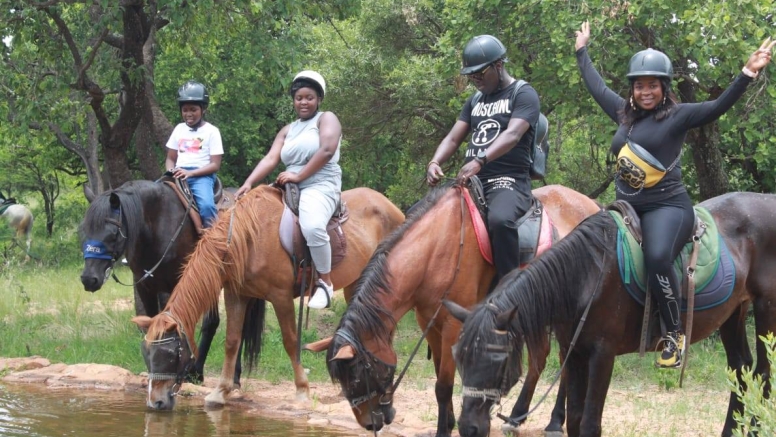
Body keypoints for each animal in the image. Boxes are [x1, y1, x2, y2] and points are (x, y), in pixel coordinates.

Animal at [80, 179, 244, 384]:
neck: (156, 223)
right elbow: (151, 324)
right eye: (84, 230)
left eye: (112, 234)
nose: (89, 279)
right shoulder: (145, 287)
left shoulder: (174, 285)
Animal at [130, 186, 404, 410]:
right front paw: (221, 392)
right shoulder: (236, 295)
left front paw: (302, 391)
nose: (155, 402)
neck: (247, 238)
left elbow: (291, 341)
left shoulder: (281, 297)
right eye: (146, 354)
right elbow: (232, 341)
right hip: (356, 284)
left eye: (169, 355)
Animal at [312, 181, 604, 436]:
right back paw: (517, 416)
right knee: (541, 357)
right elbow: (441, 384)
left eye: (358, 376)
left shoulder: (454, 324)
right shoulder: (428, 322)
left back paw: (554, 421)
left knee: (565, 360)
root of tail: (593, 207)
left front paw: (445, 429)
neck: (434, 250)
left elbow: (444, 384)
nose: (370, 423)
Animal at [446, 193, 776, 436]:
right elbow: (575, 421)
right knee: (741, 369)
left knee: (763, 371)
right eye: (460, 358)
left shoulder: (602, 356)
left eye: (497, 359)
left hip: (766, 308)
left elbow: (590, 424)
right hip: (733, 312)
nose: (468, 428)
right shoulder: (575, 354)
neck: (586, 276)